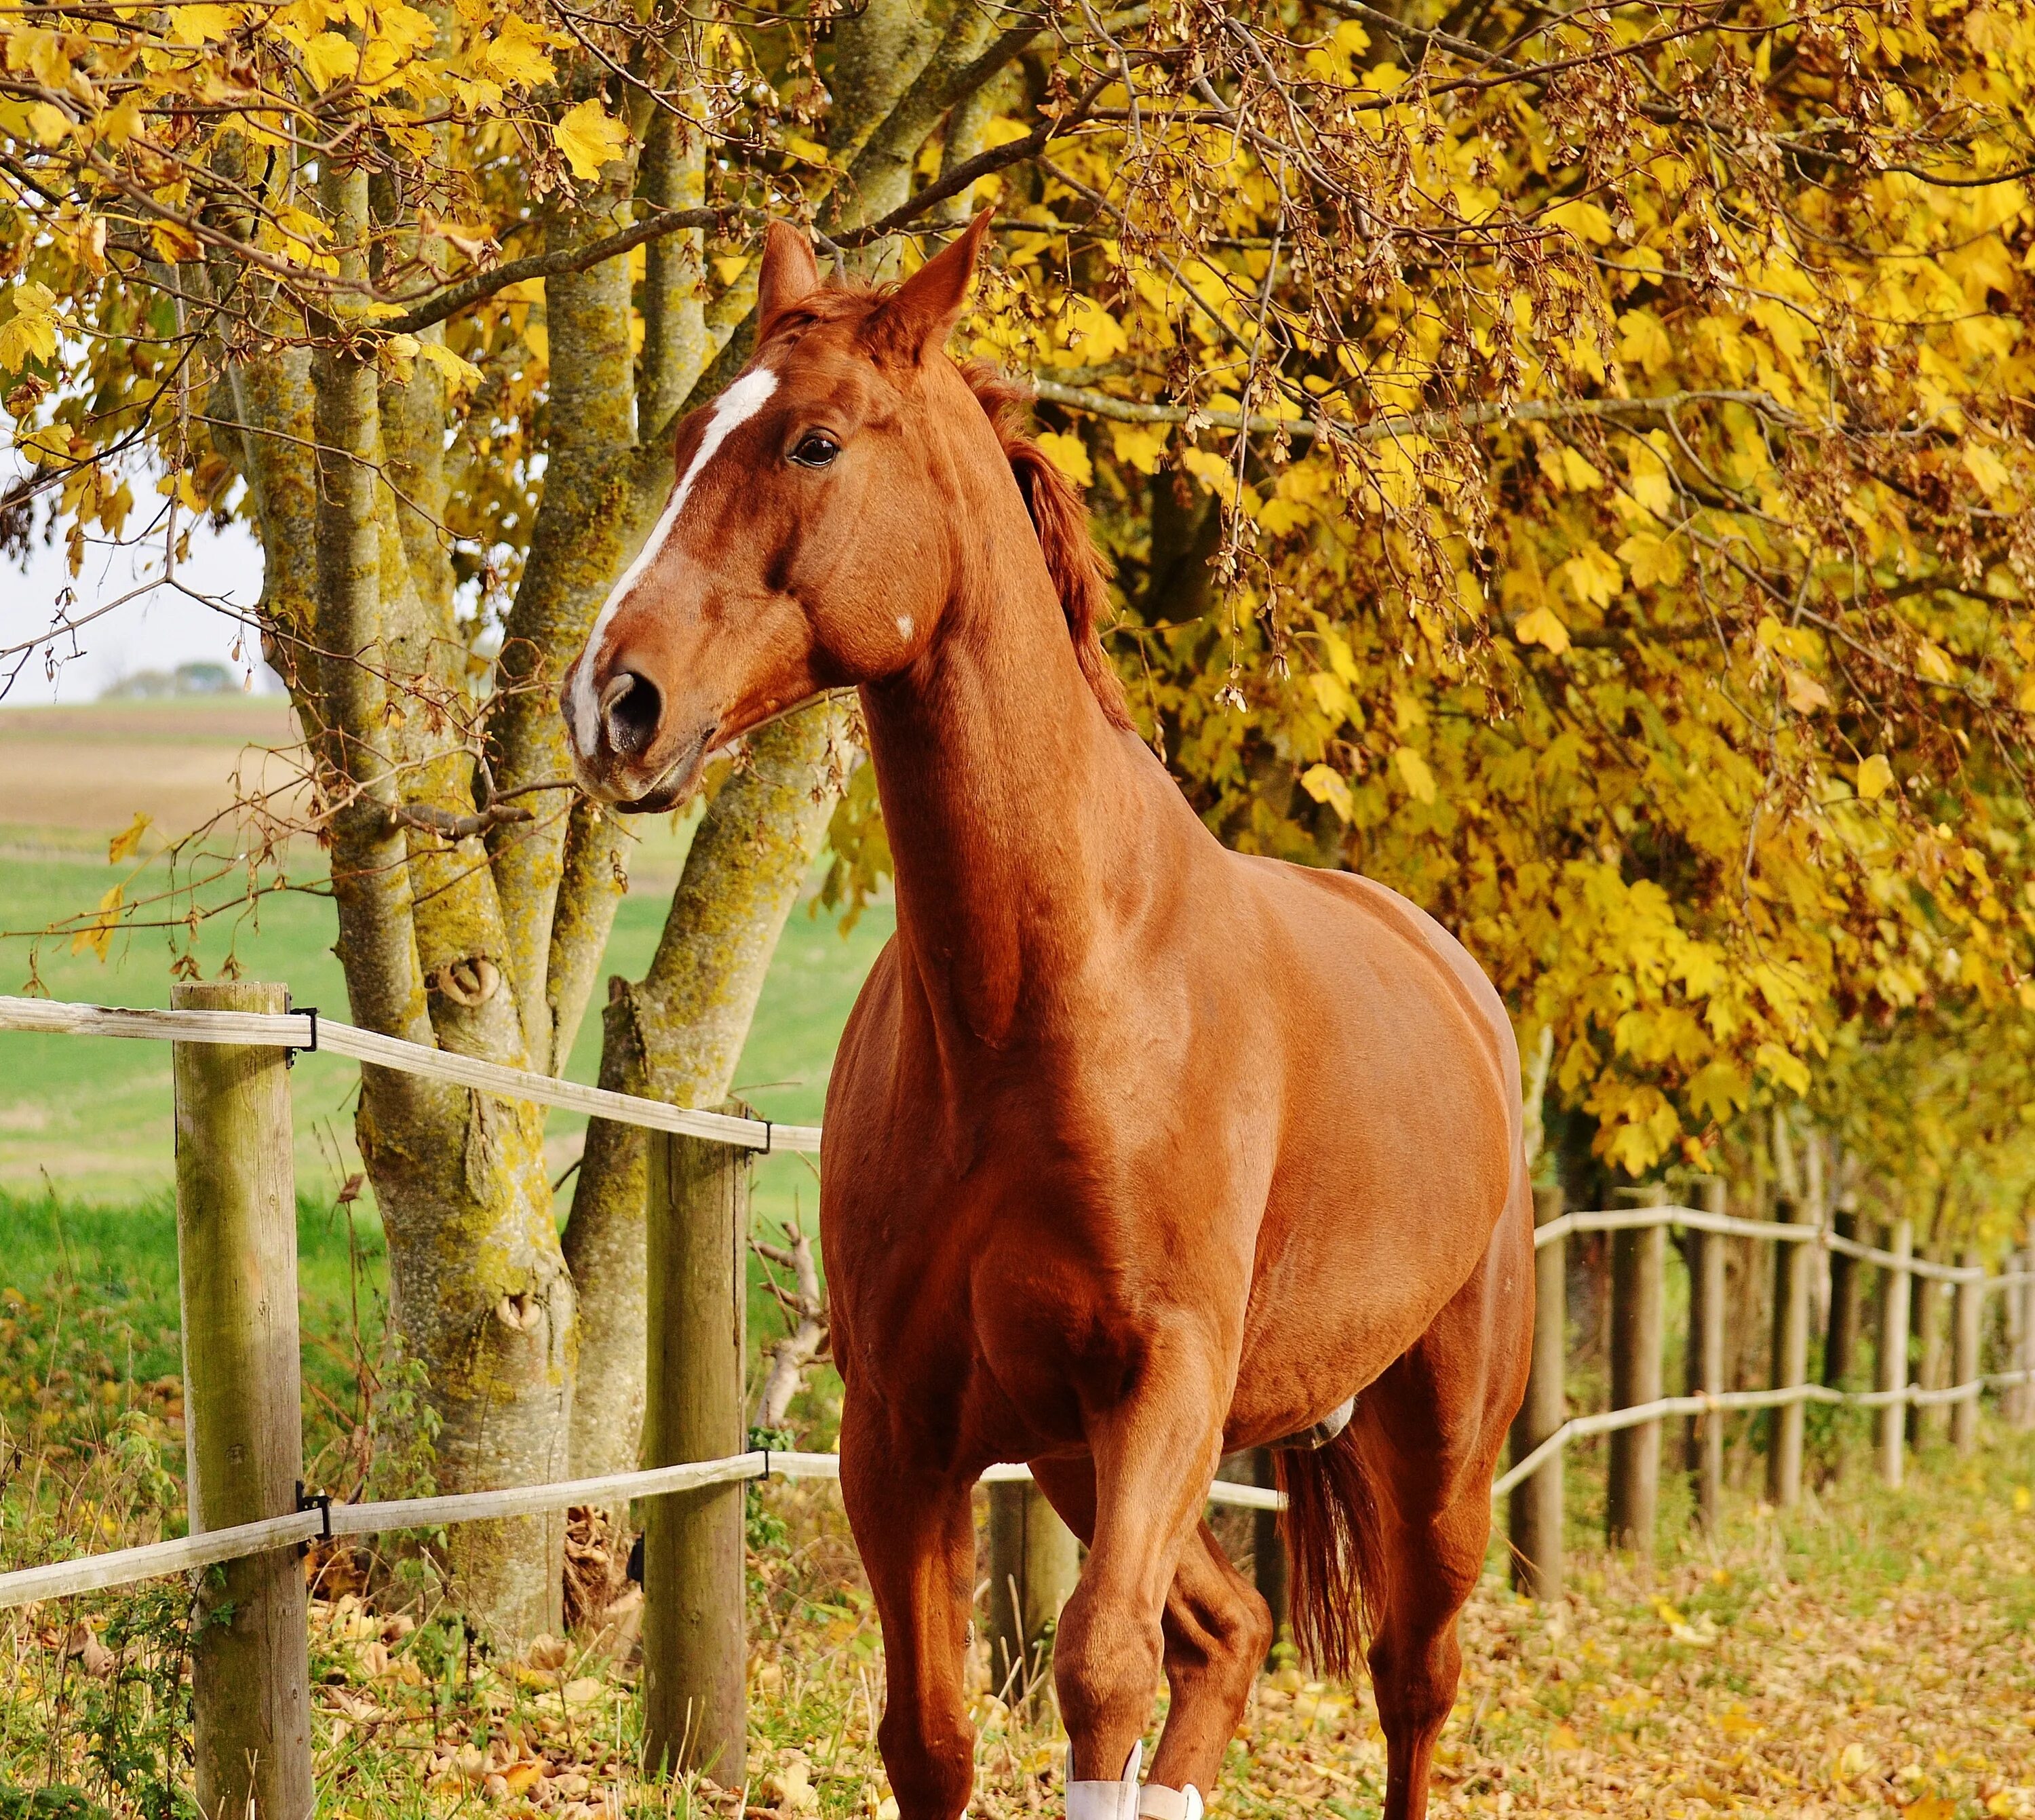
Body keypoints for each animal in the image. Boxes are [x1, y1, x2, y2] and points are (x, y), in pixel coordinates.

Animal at [558, 218, 1530, 1820]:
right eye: (691, 439)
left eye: (815, 442)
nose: (610, 704)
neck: (1045, 1005)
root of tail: (1454, 979)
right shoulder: (904, 1436)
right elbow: (934, 1732)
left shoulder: (1161, 1391)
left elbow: (1098, 1670)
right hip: (1083, 1457)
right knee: (1231, 1633)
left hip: (1436, 1446)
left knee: (1411, 1679)